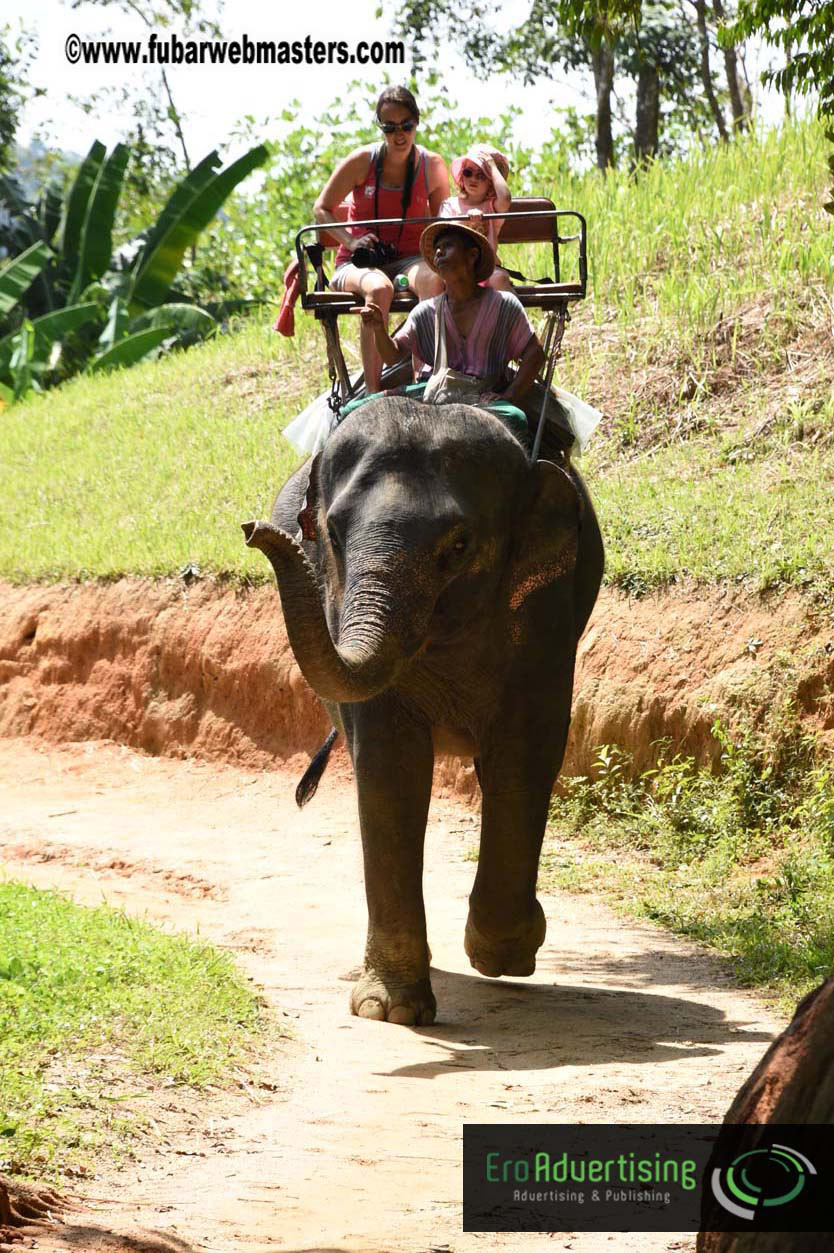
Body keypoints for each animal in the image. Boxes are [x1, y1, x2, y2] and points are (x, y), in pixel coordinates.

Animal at [243, 395, 603, 1026]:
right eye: (331, 532)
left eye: (458, 547)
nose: (252, 530)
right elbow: (390, 766)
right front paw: (390, 1010)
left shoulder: (545, 615)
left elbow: (524, 752)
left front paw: (502, 954)